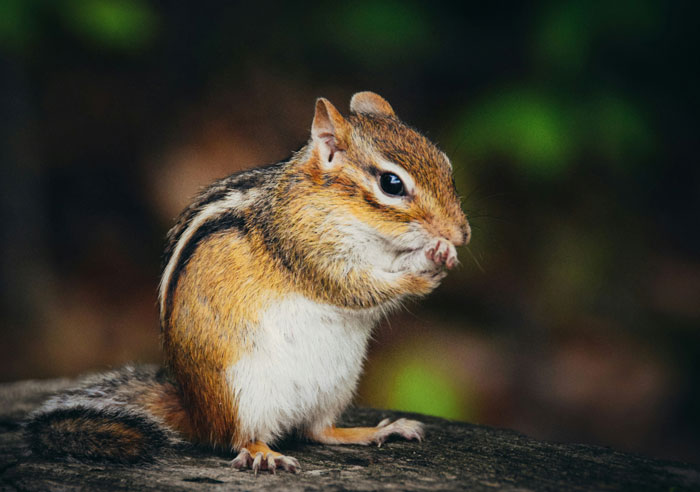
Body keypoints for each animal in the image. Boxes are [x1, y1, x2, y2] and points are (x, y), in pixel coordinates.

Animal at [25, 91, 470, 474]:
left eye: (448, 167)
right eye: (391, 184)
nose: (462, 234)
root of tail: (196, 411)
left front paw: (444, 253)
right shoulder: (307, 249)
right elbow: (357, 286)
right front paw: (424, 265)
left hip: (337, 386)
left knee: (319, 431)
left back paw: (377, 430)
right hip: (242, 393)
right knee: (238, 438)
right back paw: (263, 453)